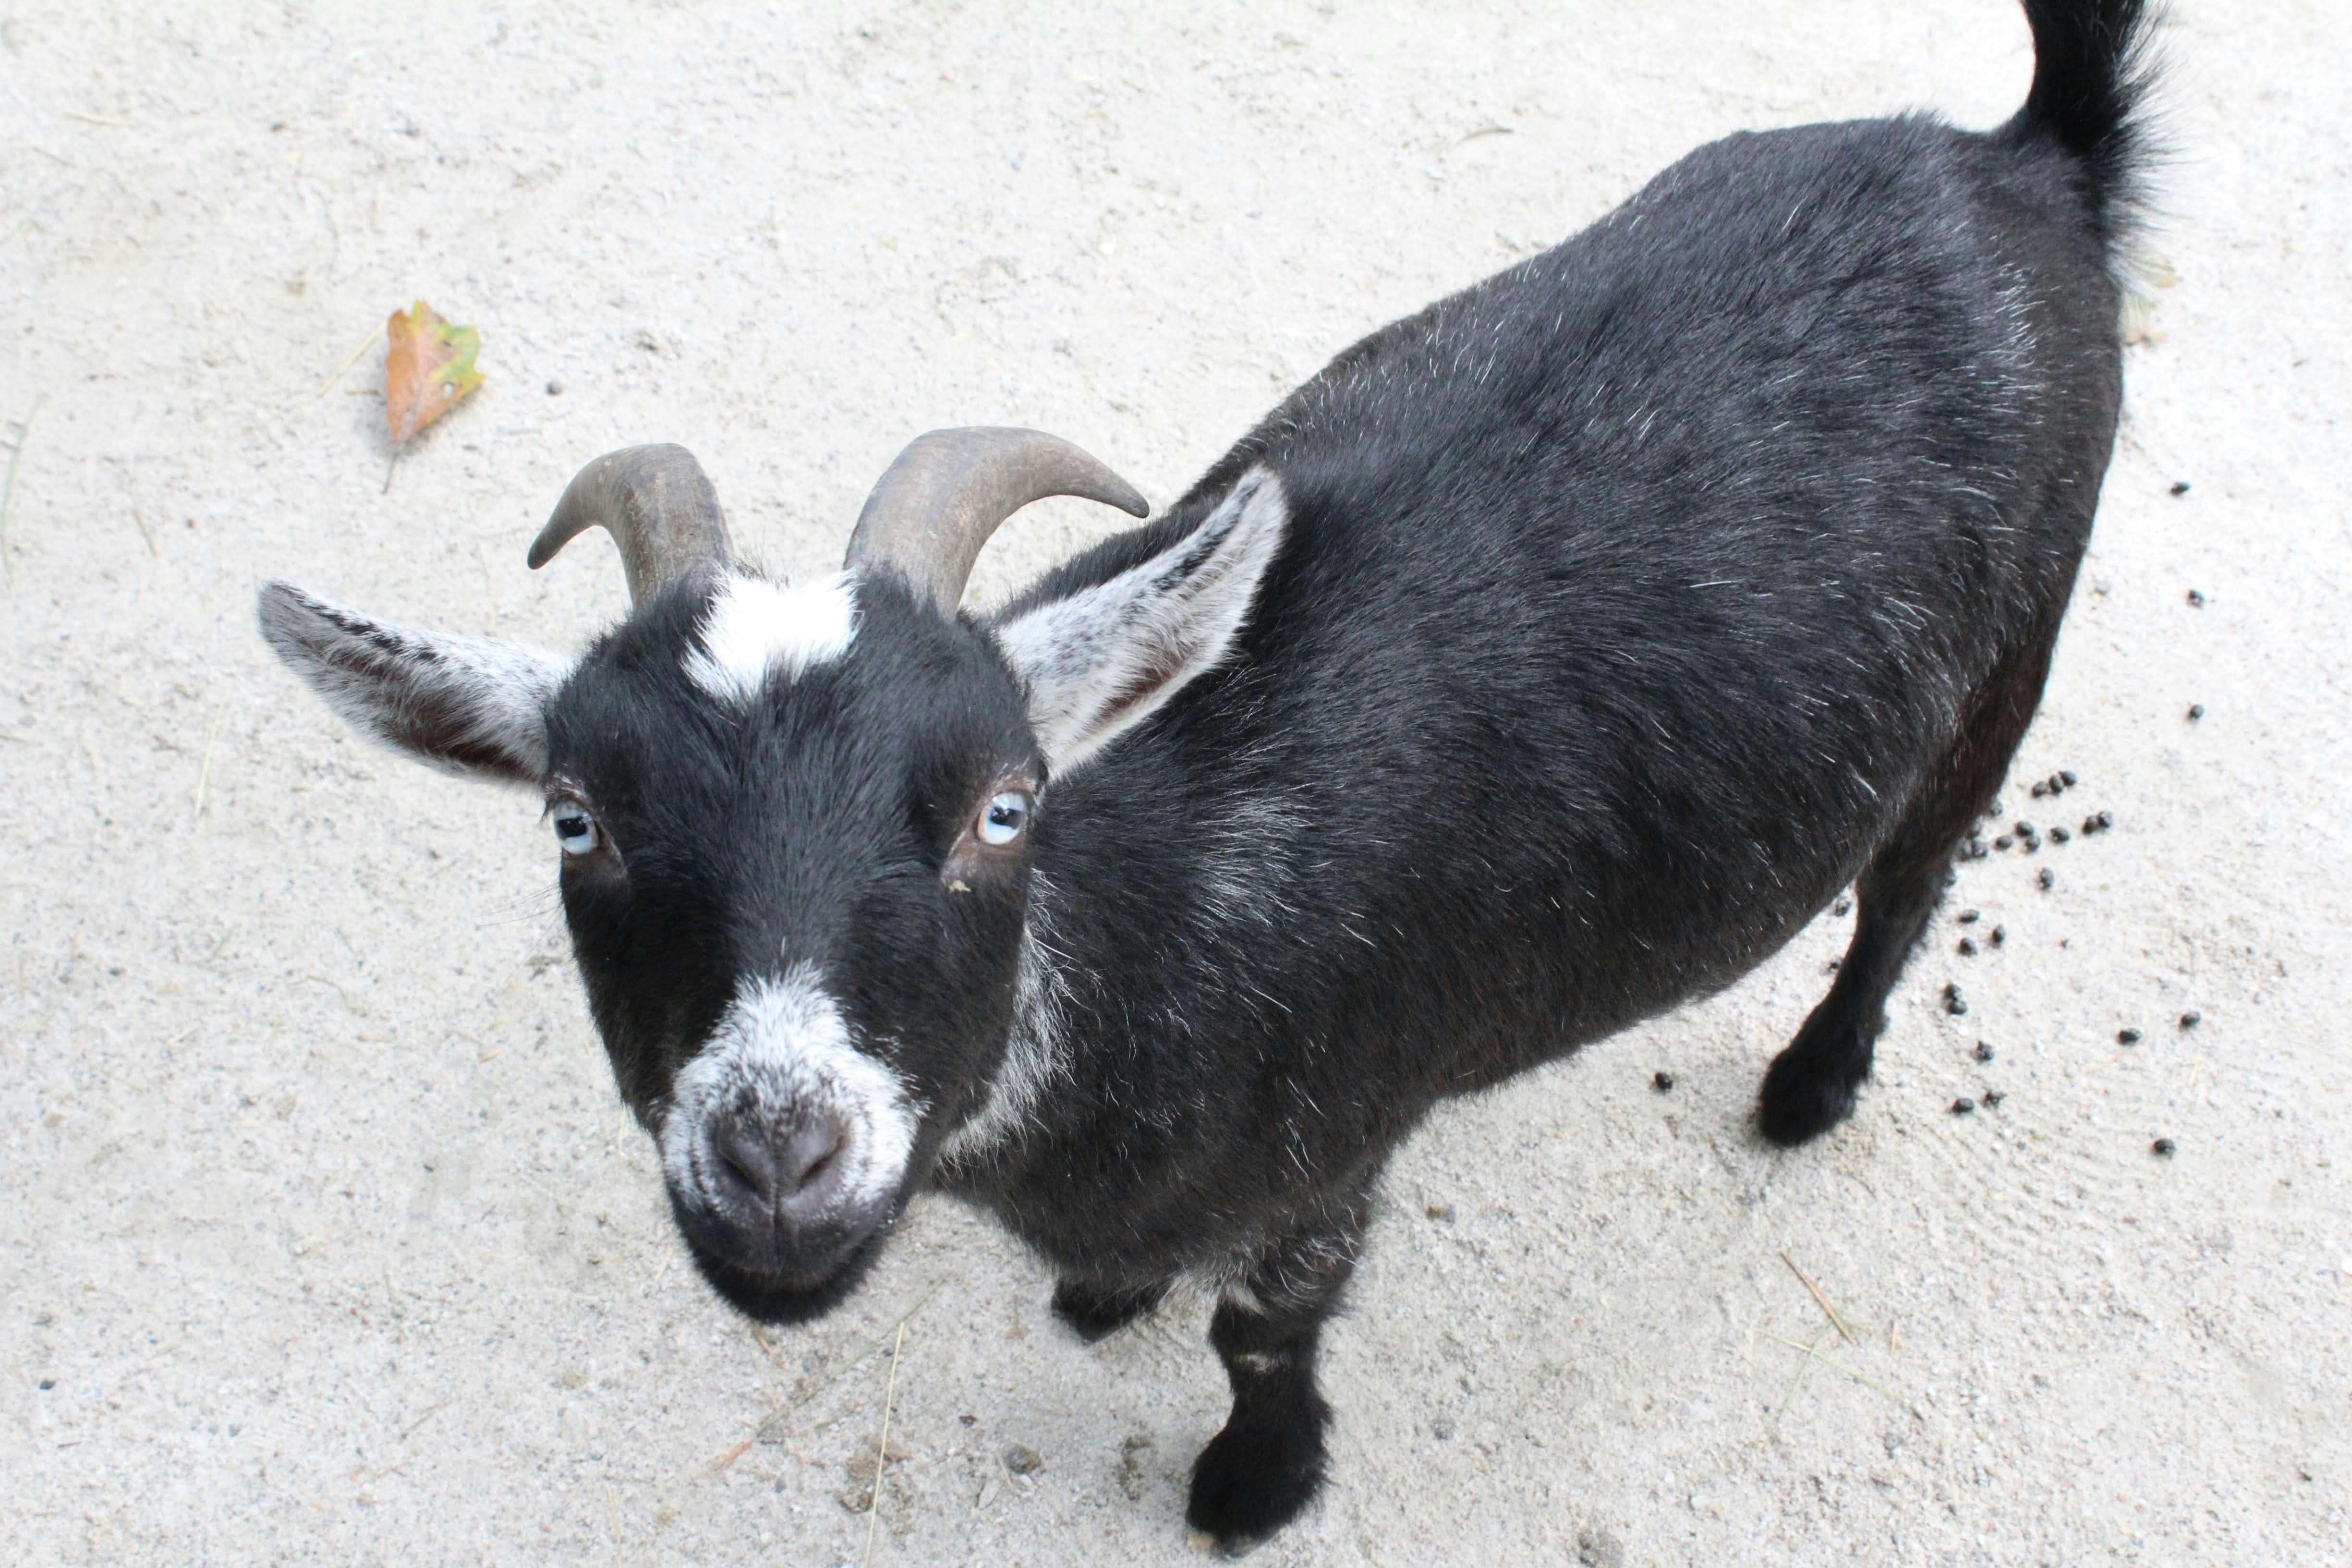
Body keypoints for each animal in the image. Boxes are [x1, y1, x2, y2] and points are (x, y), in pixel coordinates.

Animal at [257, 0, 2157, 1549]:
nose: (777, 1152)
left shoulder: (1341, 1140)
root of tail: (2021, 162)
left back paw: (1811, 1084)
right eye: (577, 816)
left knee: (1908, 877)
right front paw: (1111, 1294)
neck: (1148, 917)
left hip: (2009, 650)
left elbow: (1266, 1326)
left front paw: (1256, 1483)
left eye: (1002, 804)